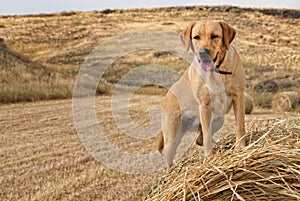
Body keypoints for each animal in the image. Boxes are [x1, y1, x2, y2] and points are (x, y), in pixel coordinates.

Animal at [158, 20, 245, 165]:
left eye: (214, 36)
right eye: (196, 37)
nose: (203, 52)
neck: (217, 71)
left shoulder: (238, 96)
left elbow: (240, 125)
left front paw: (241, 147)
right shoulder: (205, 105)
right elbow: (207, 134)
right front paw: (209, 156)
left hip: (219, 119)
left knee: (201, 137)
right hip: (172, 134)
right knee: (168, 156)